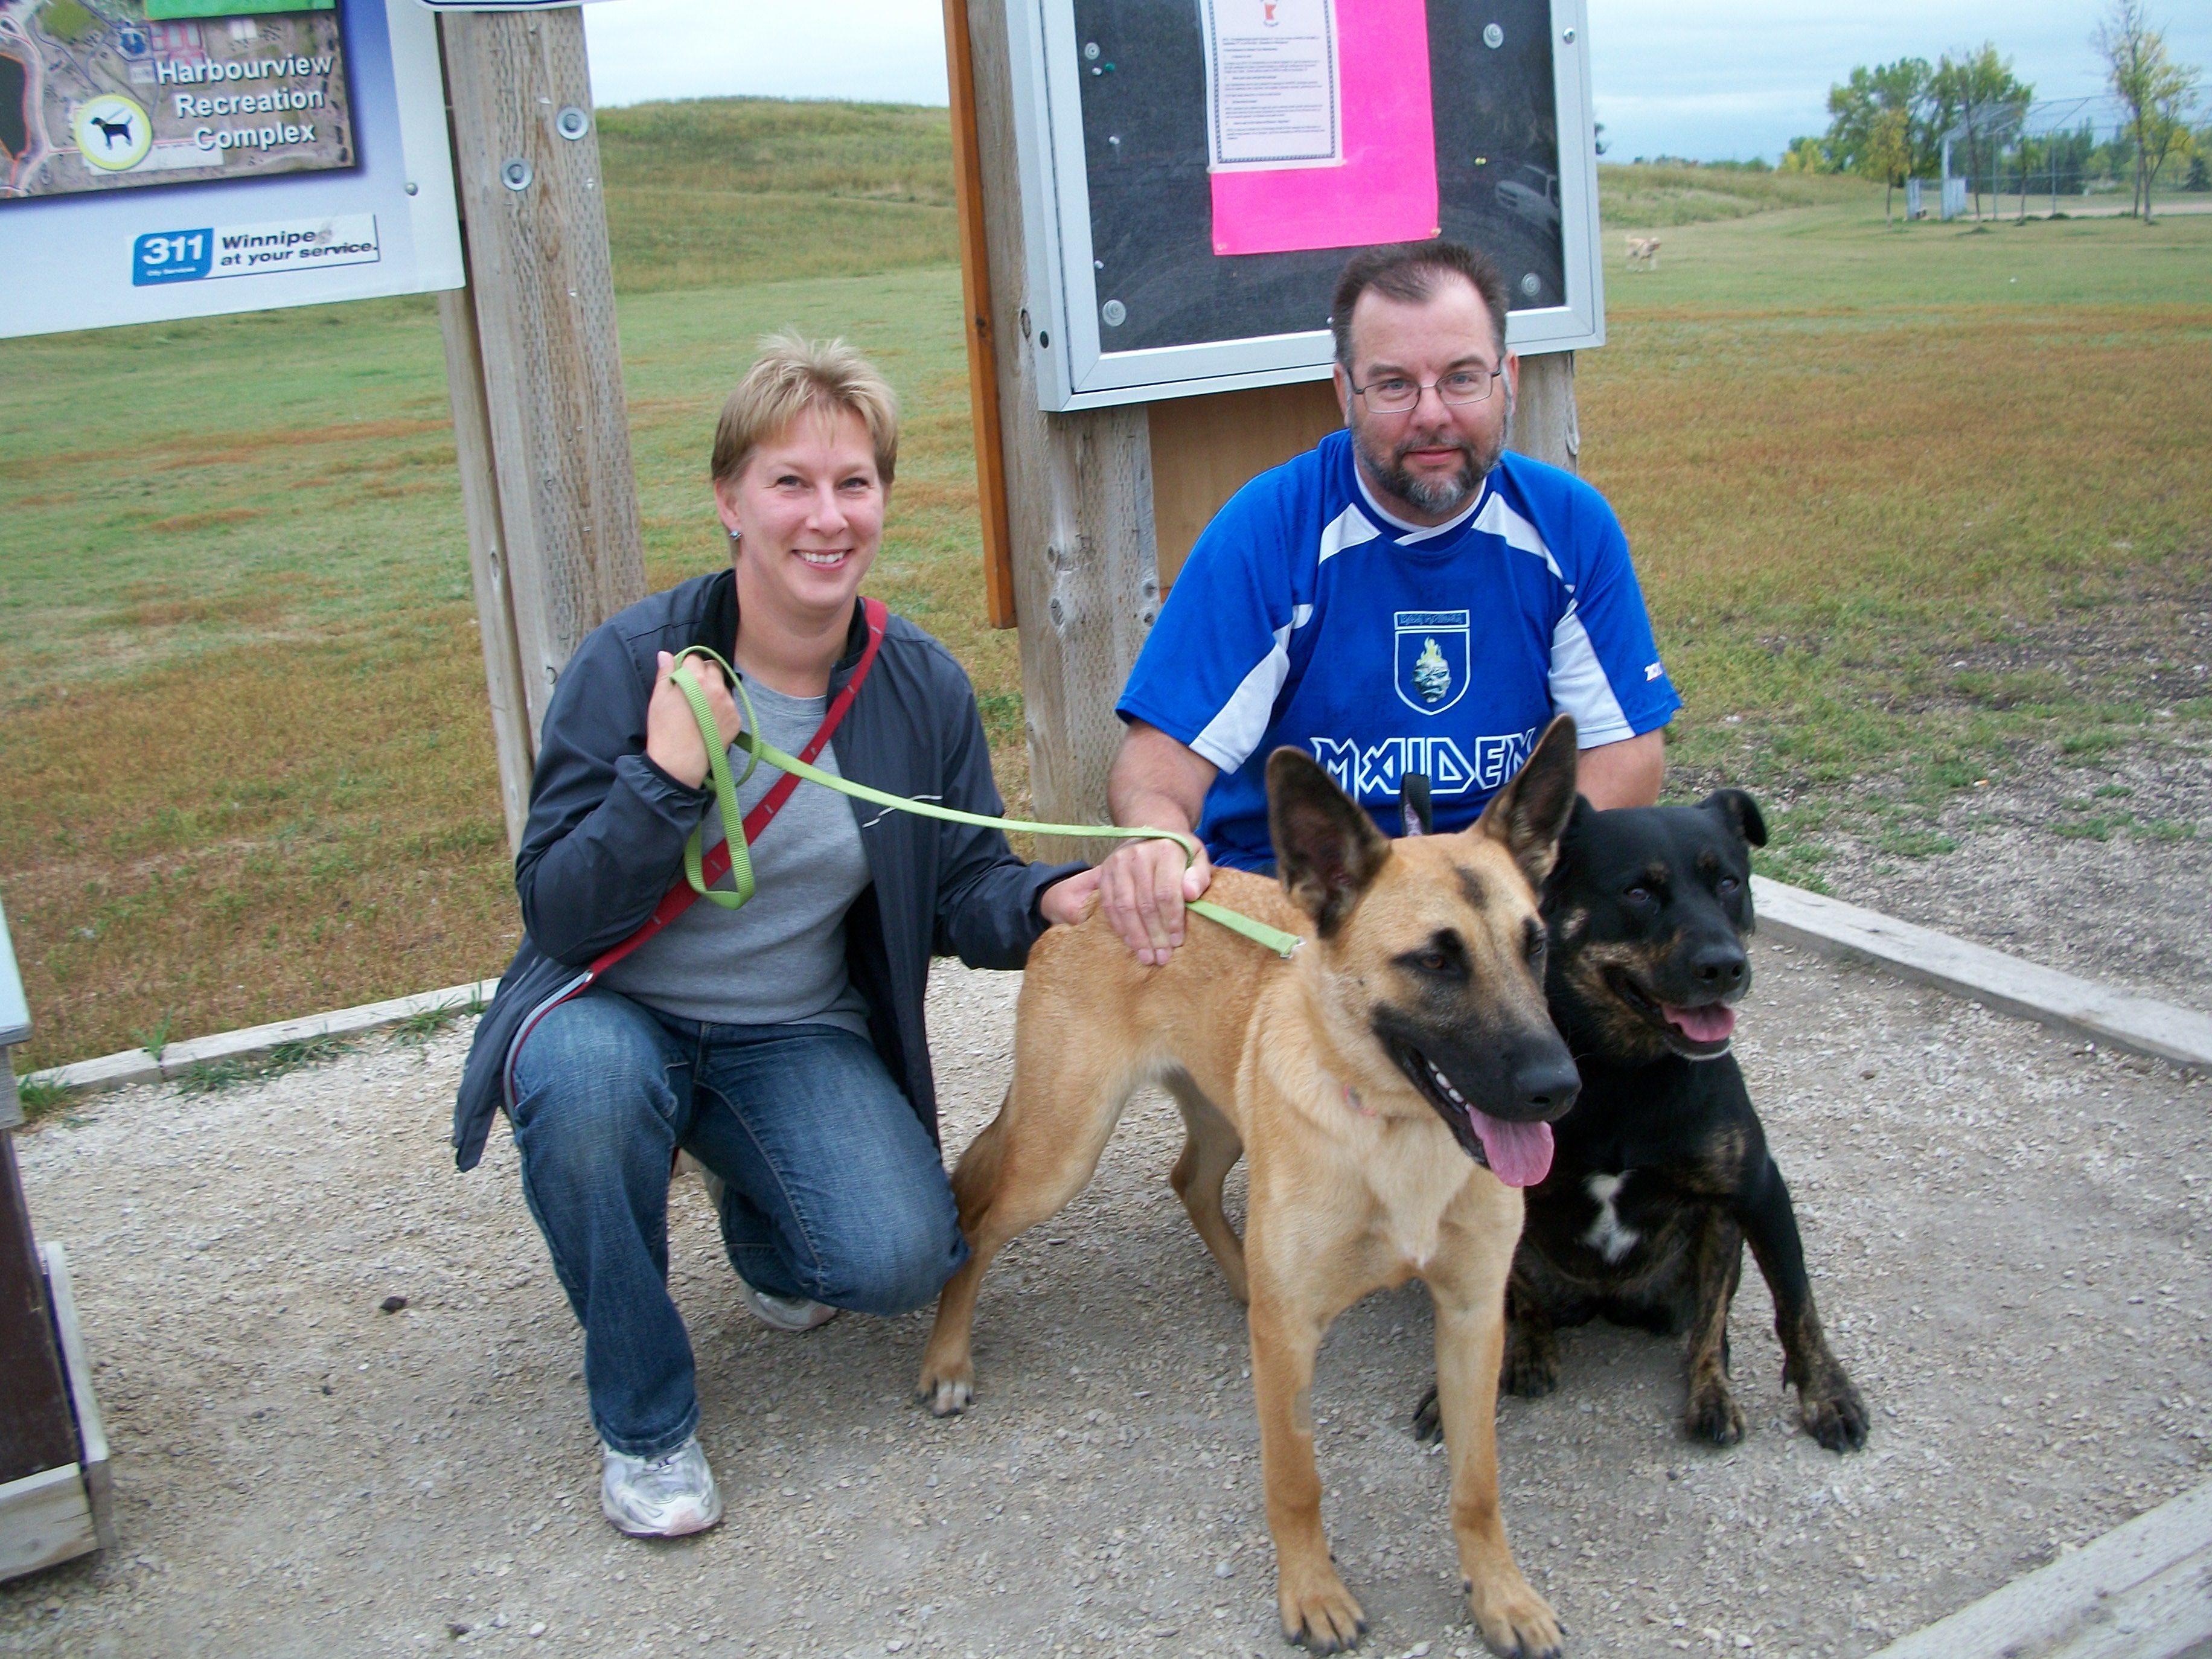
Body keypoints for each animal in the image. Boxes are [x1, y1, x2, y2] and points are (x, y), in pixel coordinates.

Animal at [918, 722, 1584, 1657]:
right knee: (978, 1224)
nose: (1560, 1089)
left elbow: (1477, 1485)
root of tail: (1096, 887)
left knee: (1190, 1180)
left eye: (1535, 945)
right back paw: (947, 1359)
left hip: (1226, 1114)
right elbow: (1296, 1479)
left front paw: (1501, 1595)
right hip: (1061, 1154)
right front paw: (1312, 1593)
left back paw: (1240, 1278)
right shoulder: (1296, 1341)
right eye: (1435, 961)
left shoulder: (1470, 1316)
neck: (1394, 1128)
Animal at [1412, 790, 1868, 1454]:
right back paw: (1528, 1352)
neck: (1622, 1069)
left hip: (1716, 1234)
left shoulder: (1758, 1190)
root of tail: (1609, 1302)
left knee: (1709, 1322)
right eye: (1636, 892)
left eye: (1729, 882)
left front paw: (1826, 1393)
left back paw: (1711, 1389)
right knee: (1523, 1305)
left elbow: (1796, 1302)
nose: (1725, 966)